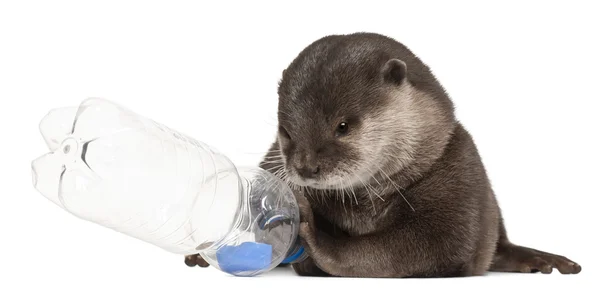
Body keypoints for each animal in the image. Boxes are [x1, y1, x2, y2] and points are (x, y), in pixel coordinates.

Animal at [188, 32, 580, 276]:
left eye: (343, 126)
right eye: (286, 131)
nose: (305, 167)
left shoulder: (457, 172)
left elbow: (423, 248)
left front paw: (311, 233)